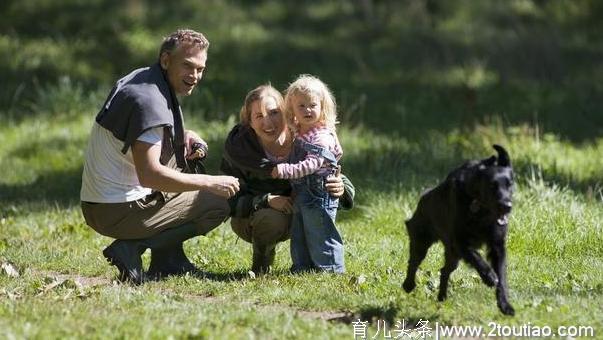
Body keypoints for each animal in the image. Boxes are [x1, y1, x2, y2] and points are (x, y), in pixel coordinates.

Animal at [404, 144, 516, 316]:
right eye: (492, 185)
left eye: (509, 185)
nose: (507, 206)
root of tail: (423, 197)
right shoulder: (459, 242)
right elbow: (477, 258)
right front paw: (489, 276)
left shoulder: (497, 246)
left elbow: (502, 278)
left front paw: (505, 305)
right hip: (422, 242)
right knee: (414, 262)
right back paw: (408, 285)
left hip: (453, 256)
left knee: (444, 270)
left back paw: (442, 297)